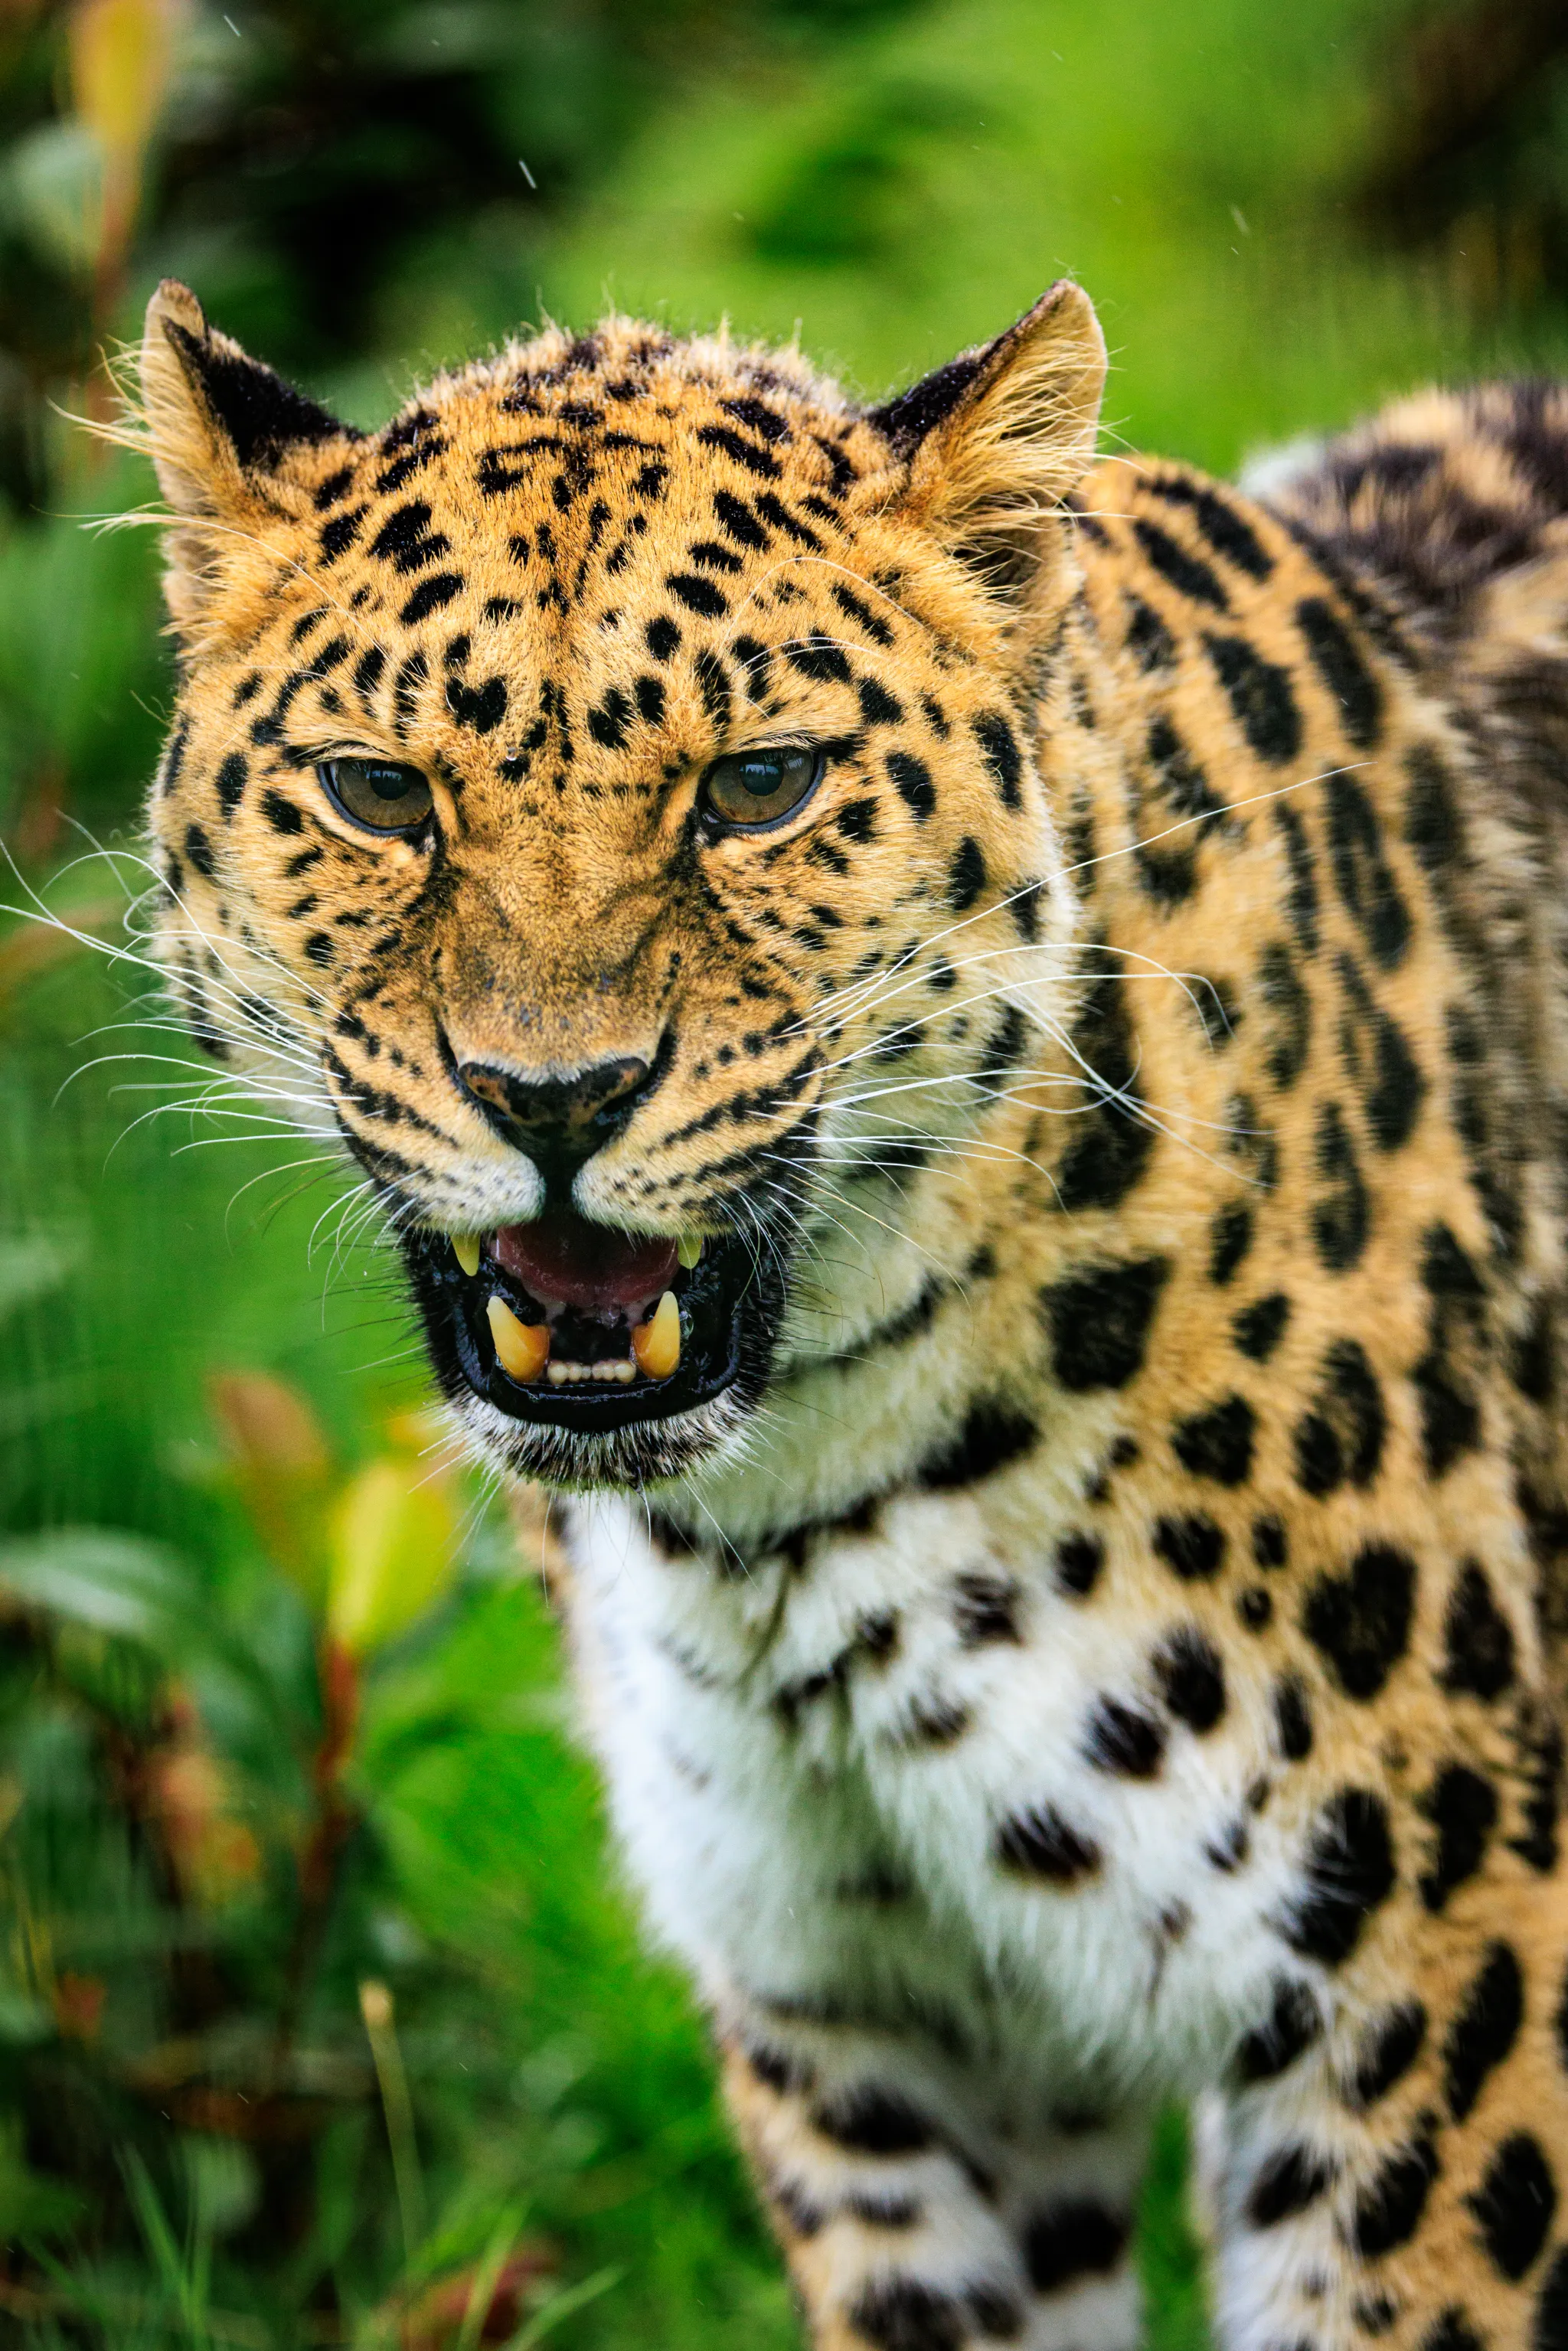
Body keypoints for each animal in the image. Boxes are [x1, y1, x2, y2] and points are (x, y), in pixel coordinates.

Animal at [127, 268, 1568, 2351]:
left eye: (760, 785)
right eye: (378, 792)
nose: (549, 1097)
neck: (802, 1495)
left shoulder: (1423, 1994)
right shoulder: (867, 2026)